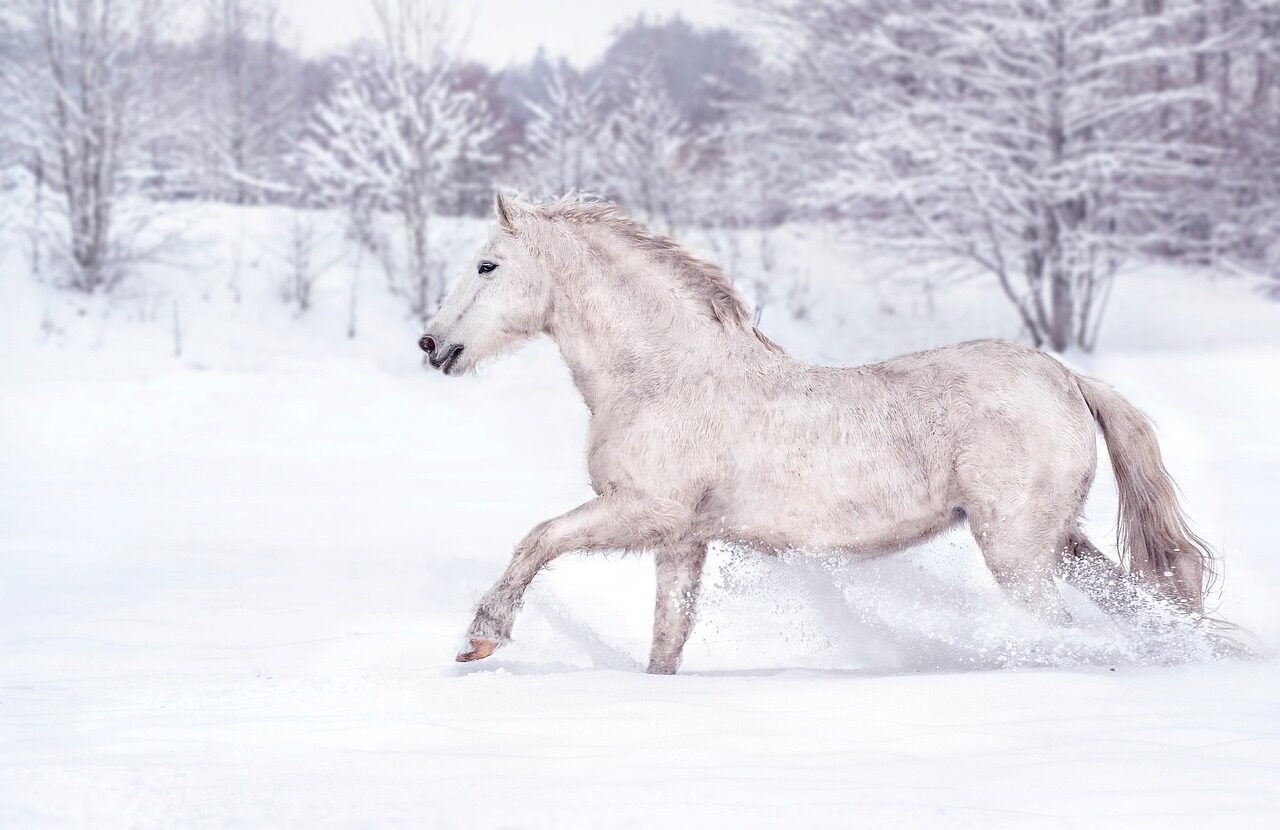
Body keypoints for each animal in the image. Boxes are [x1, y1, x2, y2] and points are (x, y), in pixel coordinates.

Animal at [420, 192, 1217, 674]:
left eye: (487, 265)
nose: (432, 345)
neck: (664, 374)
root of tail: (1066, 378)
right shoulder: (681, 540)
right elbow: (668, 637)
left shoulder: (644, 511)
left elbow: (537, 540)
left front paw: (482, 638)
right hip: (1060, 542)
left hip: (1018, 550)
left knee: (1060, 628)